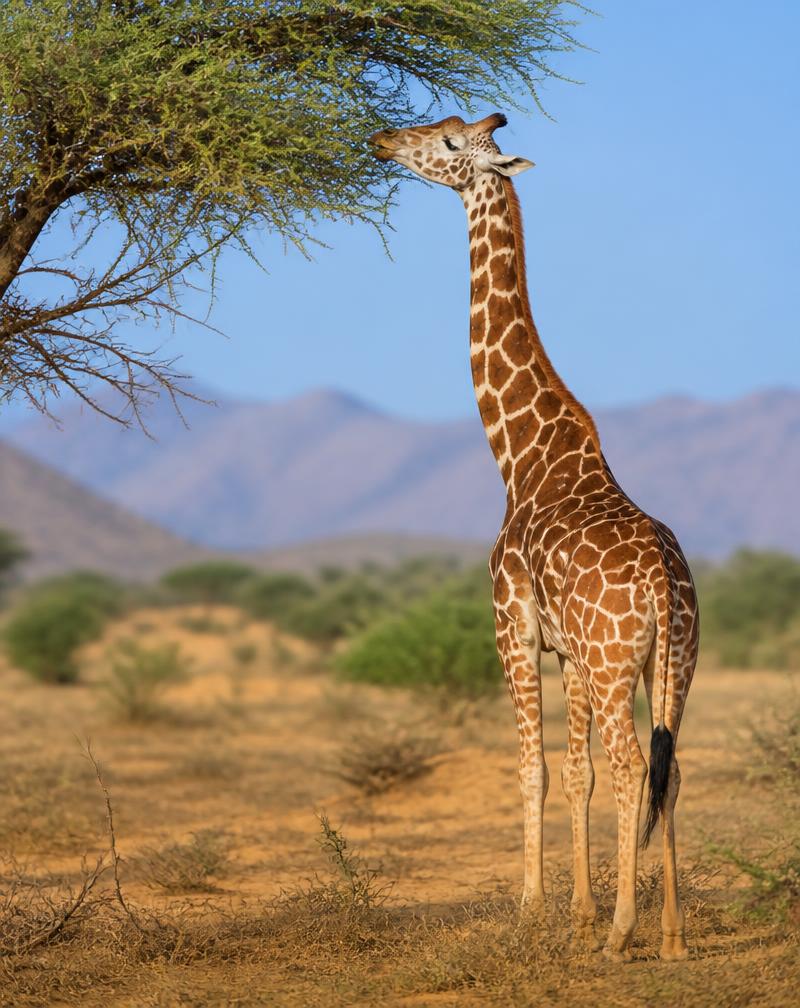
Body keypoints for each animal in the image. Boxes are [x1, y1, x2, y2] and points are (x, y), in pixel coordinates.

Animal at [370, 113, 698, 962]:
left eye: (451, 144)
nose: (384, 139)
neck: (521, 455)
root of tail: (661, 577)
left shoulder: (512, 628)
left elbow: (536, 770)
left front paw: (533, 912)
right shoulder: (570, 651)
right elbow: (577, 772)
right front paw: (577, 916)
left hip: (620, 664)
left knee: (632, 766)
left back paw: (625, 933)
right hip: (674, 663)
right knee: (669, 768)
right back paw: (671, 938)